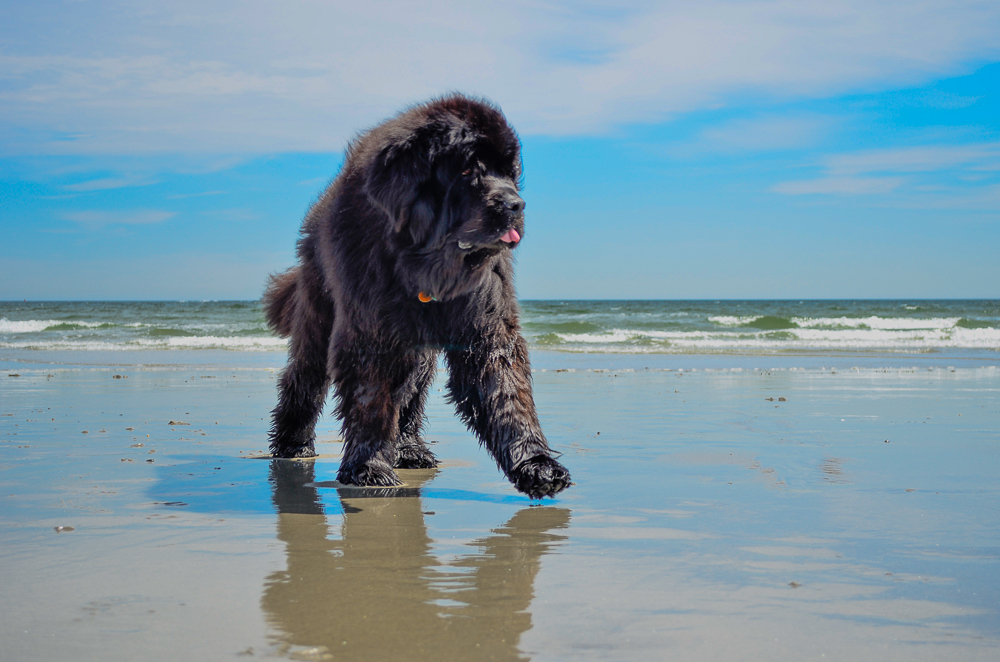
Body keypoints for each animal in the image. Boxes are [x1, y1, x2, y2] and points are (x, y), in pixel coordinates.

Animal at [264, 92, 572, 498]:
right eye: (466, 171)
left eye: (509, 172)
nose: (515, 204)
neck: (426, 265)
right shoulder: (371, 330)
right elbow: (370, 397)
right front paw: (368, 468)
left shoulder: (485, 325)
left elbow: (506, 392)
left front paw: (537, 465)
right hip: (319, 317)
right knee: (304, 378)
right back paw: (292, 444)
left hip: (418, 352)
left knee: (411, 394)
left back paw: (409, 449)